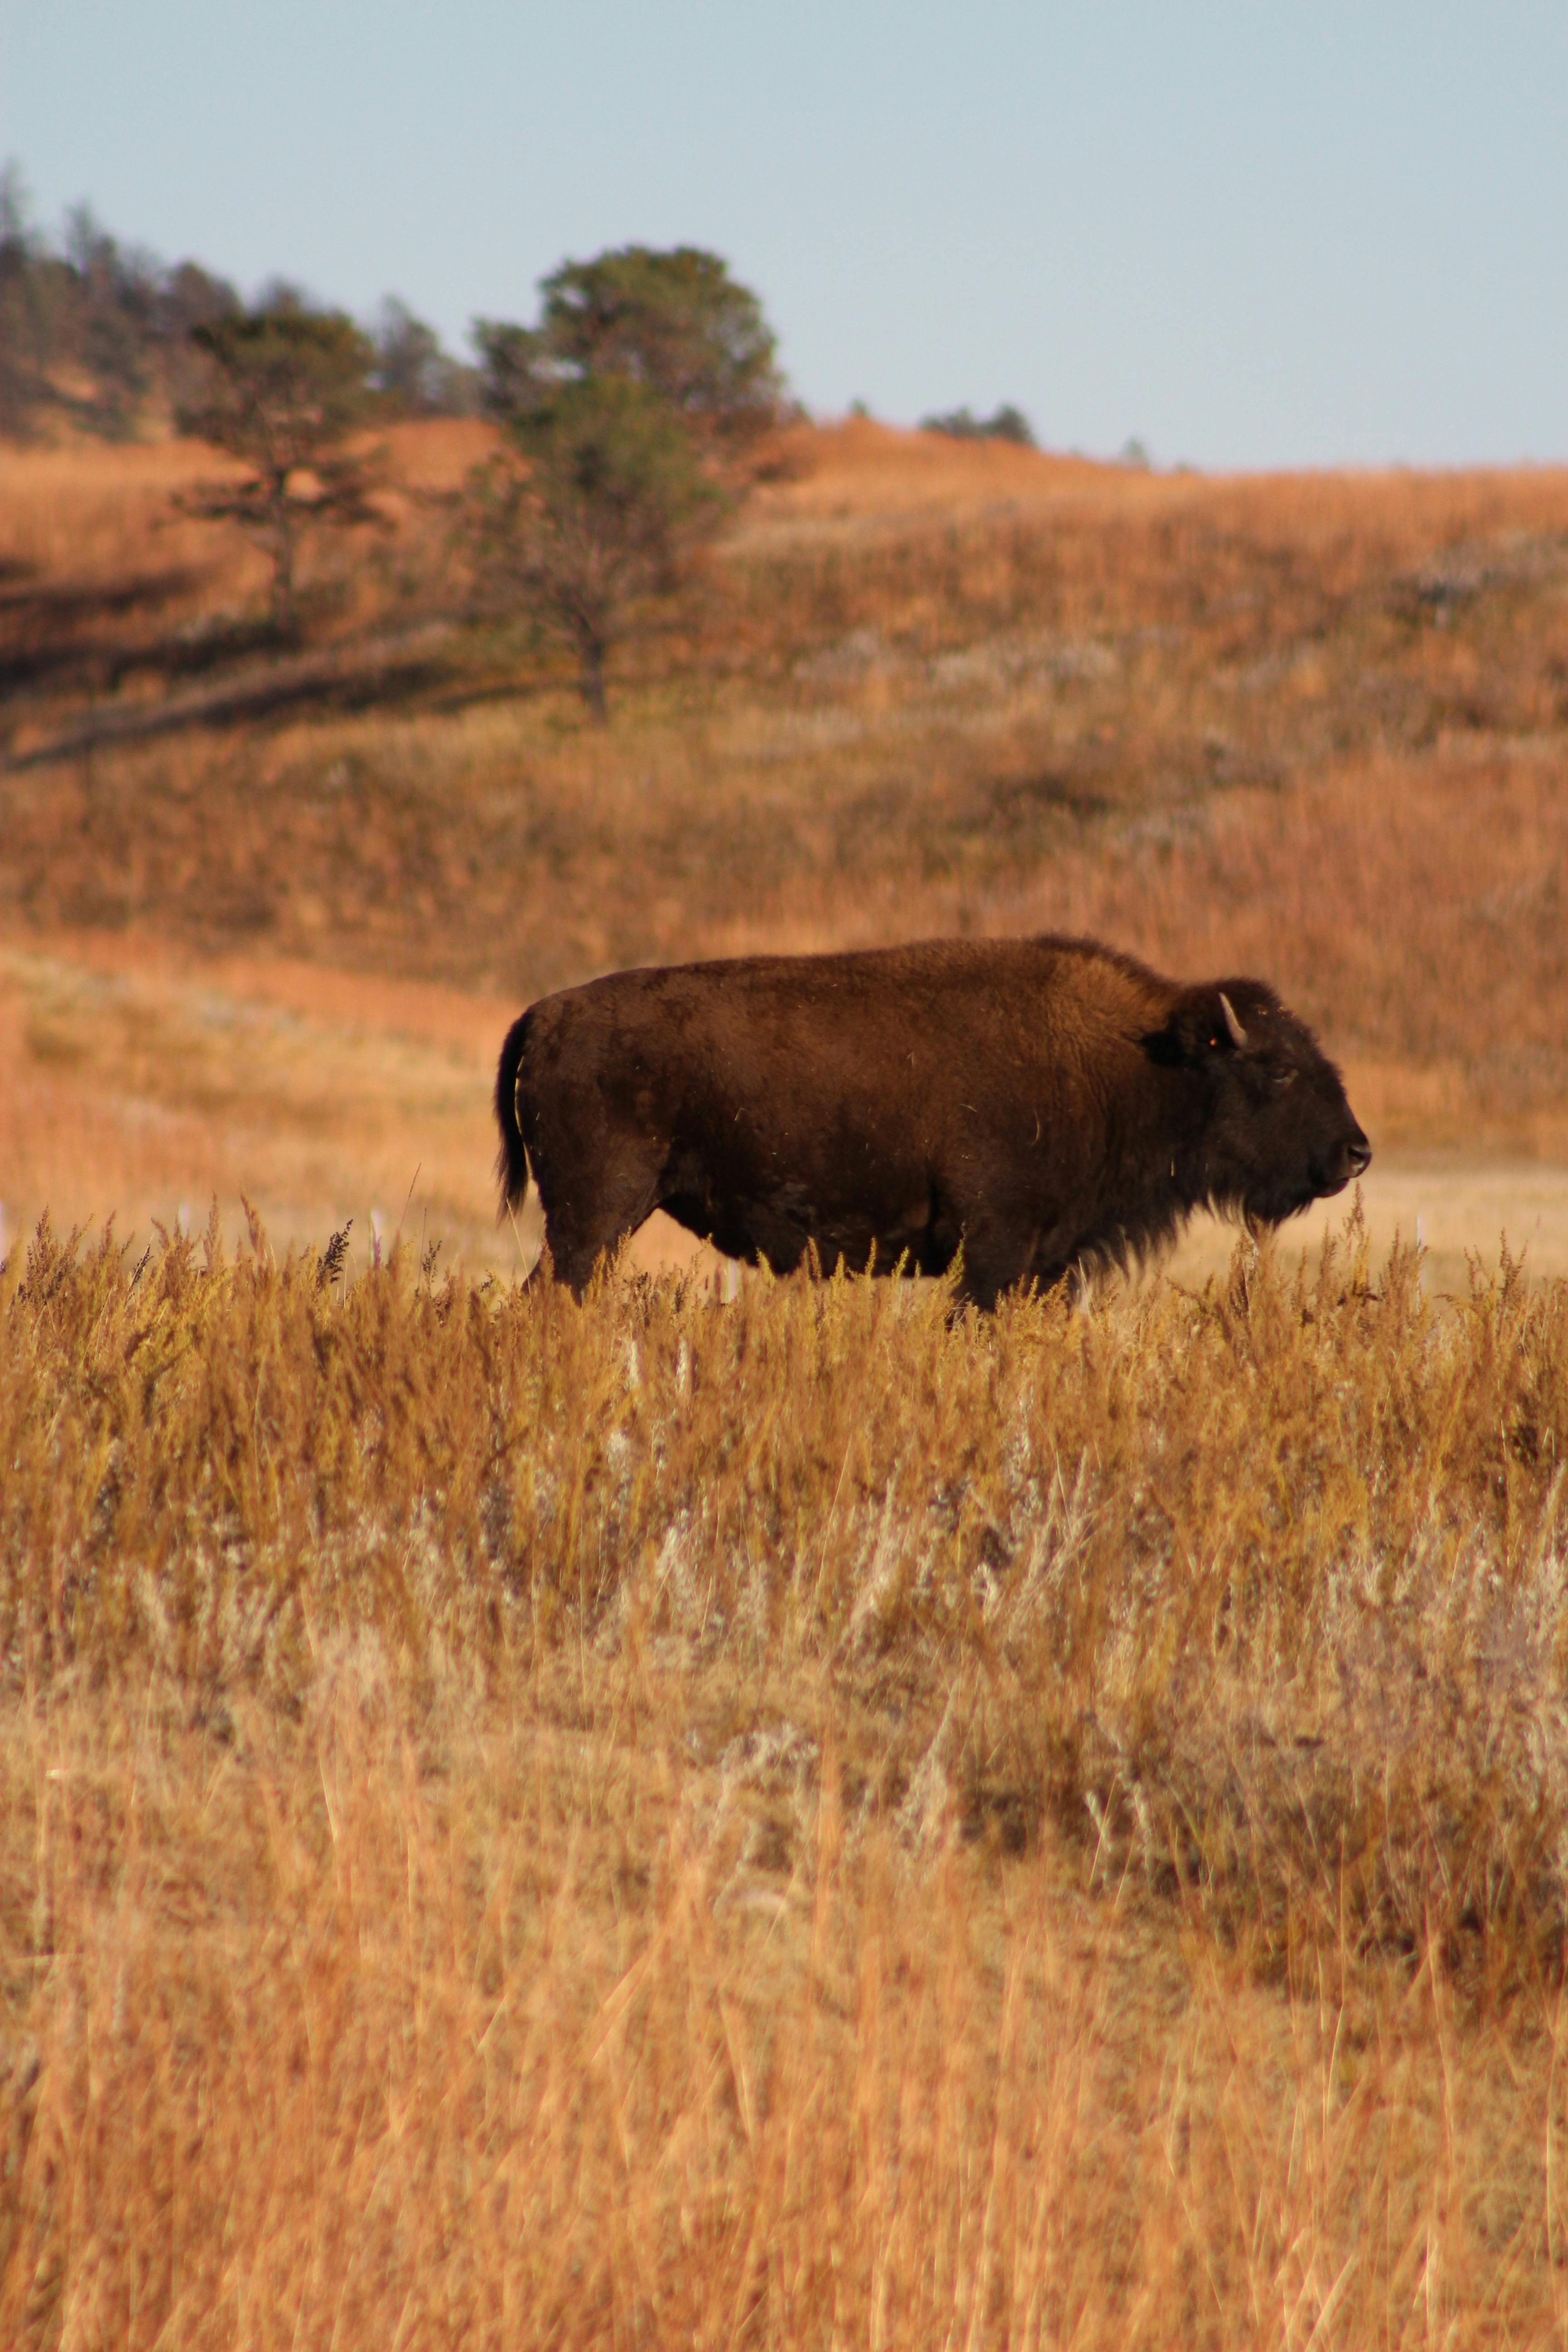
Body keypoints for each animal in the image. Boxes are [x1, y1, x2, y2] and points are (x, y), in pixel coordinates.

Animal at [494, 926, 1372, 1317]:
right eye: (1279, 1068)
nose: (1355, 1152)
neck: (1134, 1062)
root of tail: (545, 1013)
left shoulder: (1046, 1261)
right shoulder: (994, 1247)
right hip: (597, 1214)